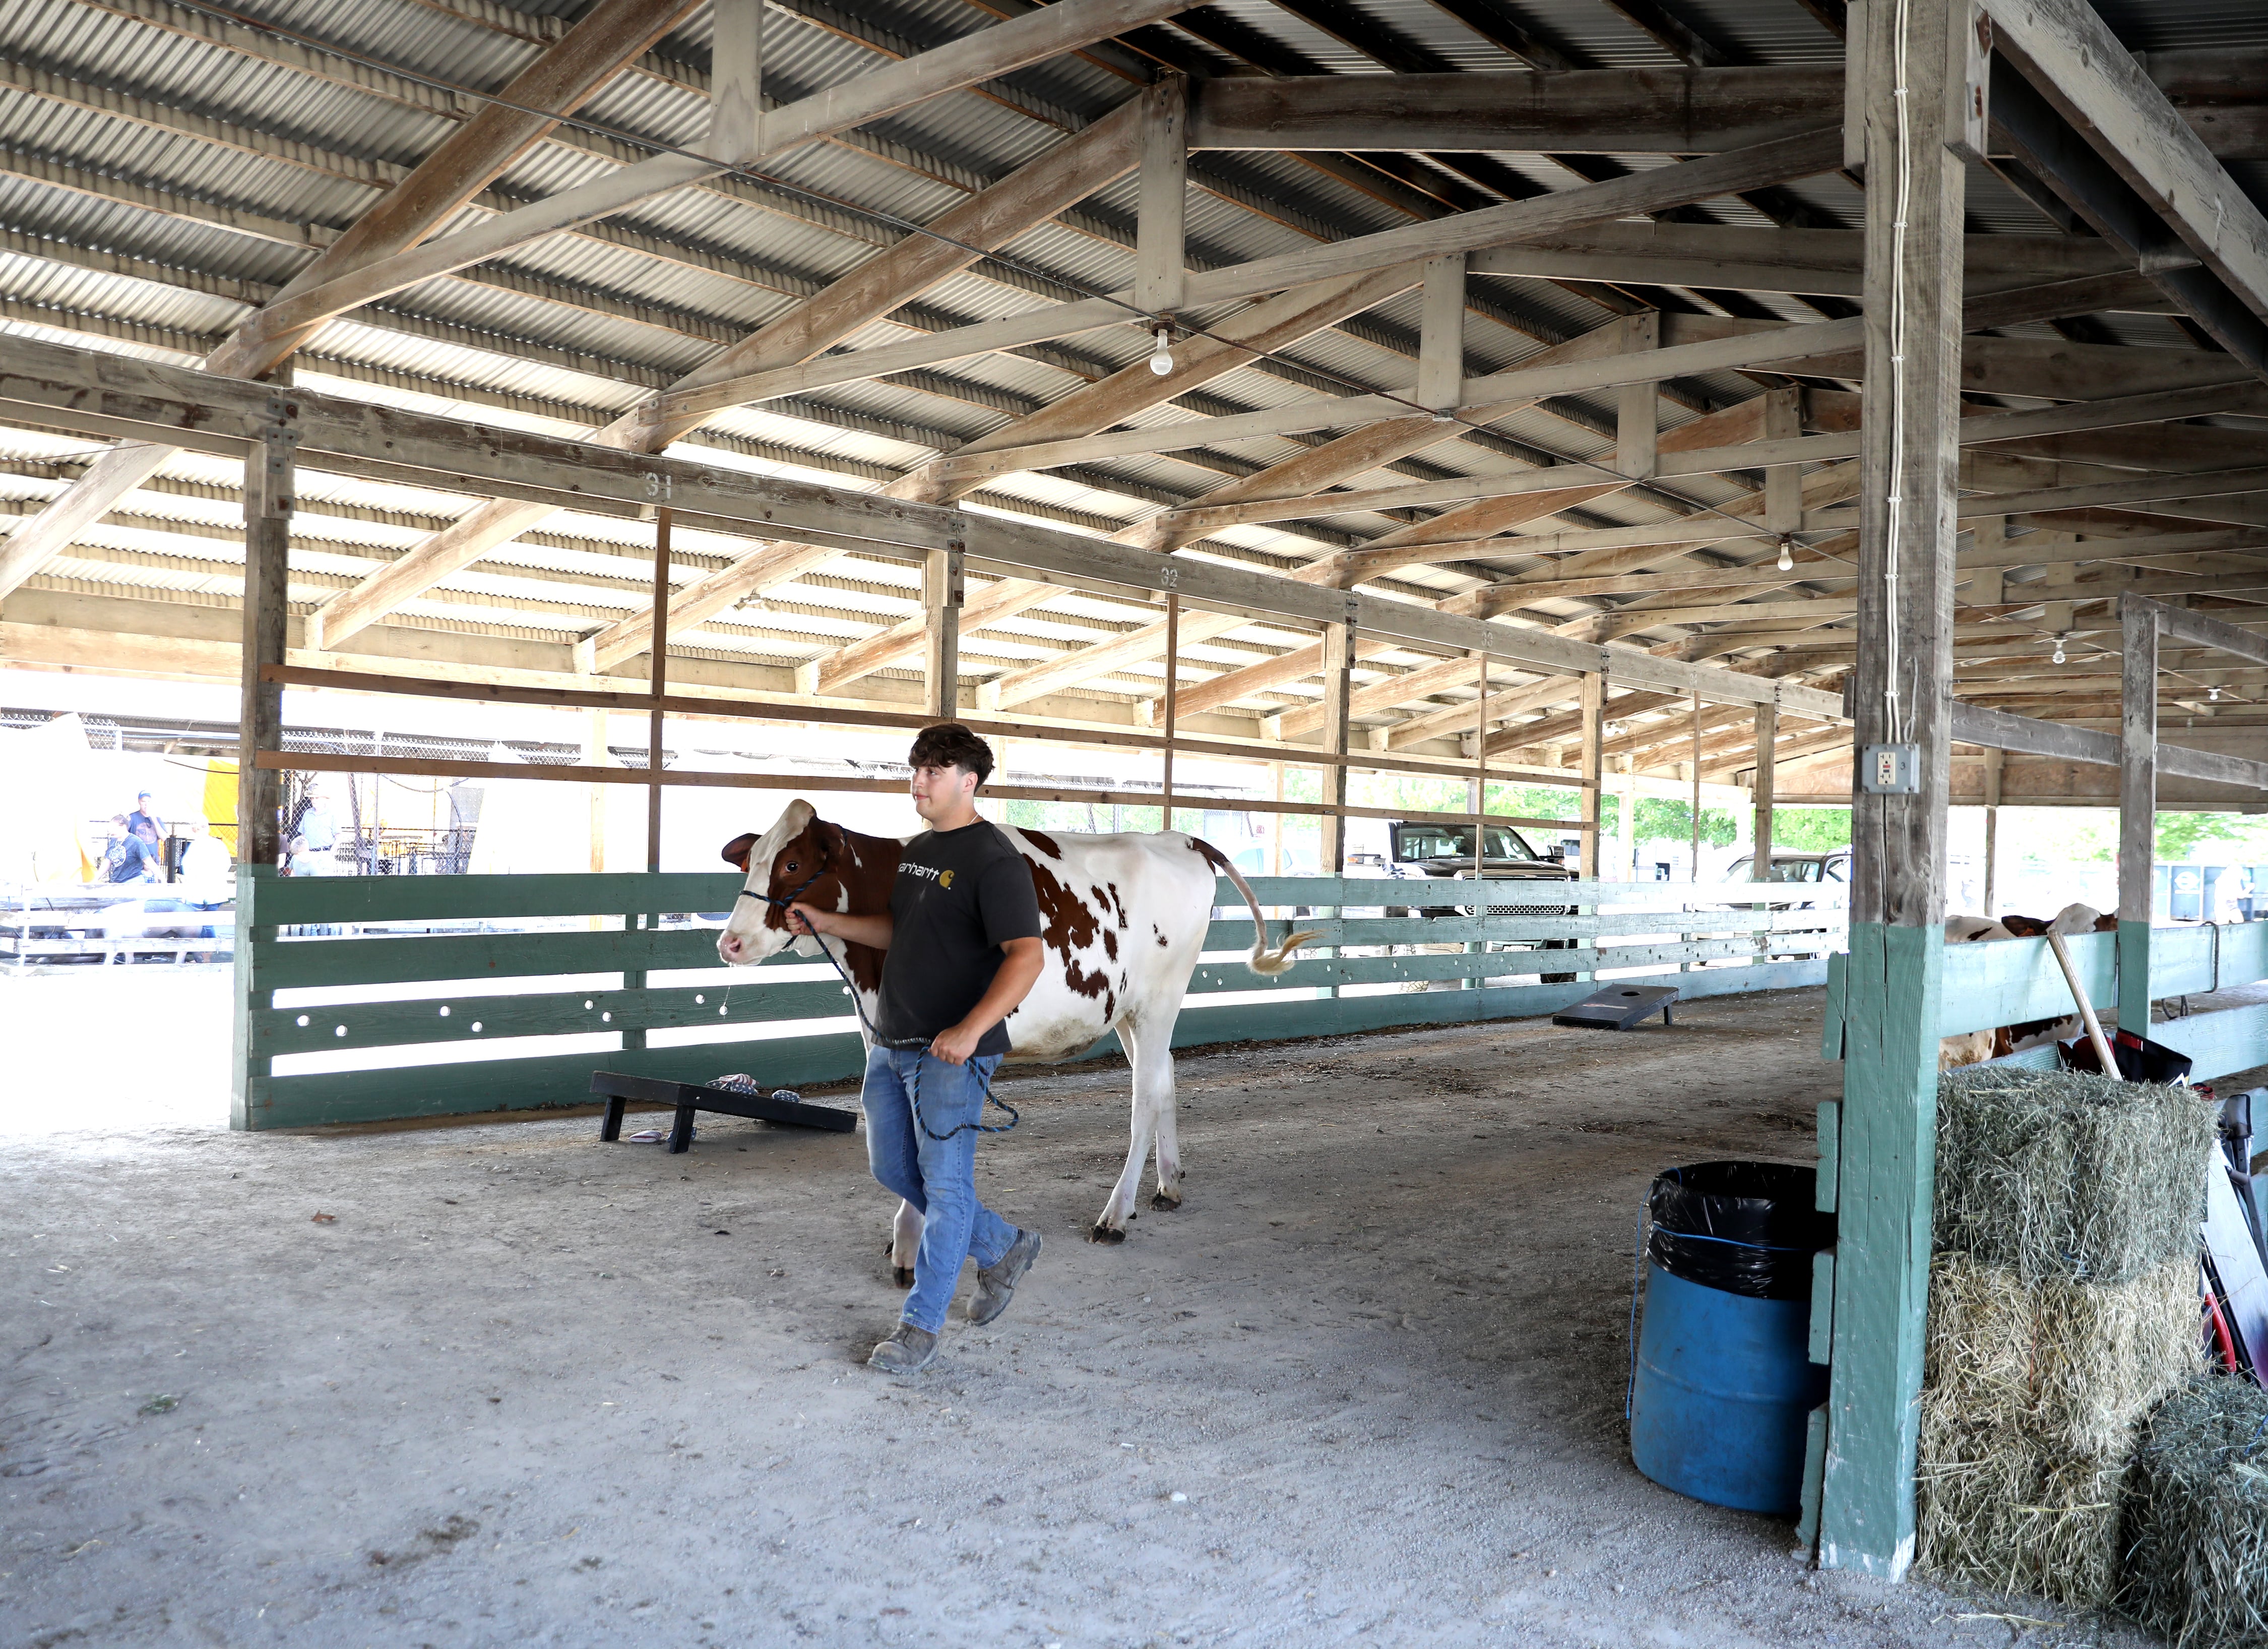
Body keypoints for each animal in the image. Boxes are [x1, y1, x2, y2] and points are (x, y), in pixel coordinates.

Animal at [717, 798, 1325, 1252]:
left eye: (793, 865)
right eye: (752, 863)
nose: (730, 942)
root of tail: (1181, 839)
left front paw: (916, 1238)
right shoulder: (883, 1036)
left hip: (1161, 998)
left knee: (1146, 1096)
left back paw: (1116, 1213)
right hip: (1129, 1009)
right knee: (1165, 1078)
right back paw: (1167, 1186)